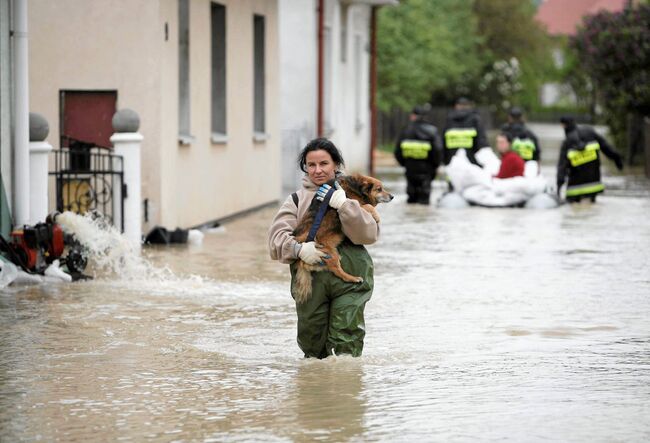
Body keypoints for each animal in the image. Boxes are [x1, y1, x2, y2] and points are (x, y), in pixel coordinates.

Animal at [292, 175, 392, 304]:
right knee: (338, 271)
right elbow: (367, 206)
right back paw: (353, 278)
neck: (356, 187)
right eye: (379, 189)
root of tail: (301, 261)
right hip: (331, 254)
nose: (392, 196)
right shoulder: (354, 202)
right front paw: (376, 215)